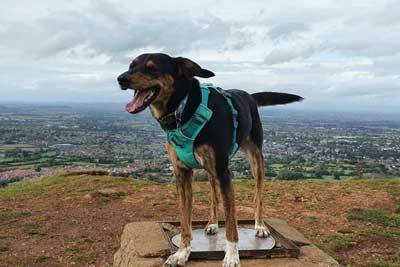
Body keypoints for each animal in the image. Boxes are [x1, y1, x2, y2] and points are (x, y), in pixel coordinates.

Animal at [117, 53, 302, 266]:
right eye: (131, 66)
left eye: (152, 68)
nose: (121, 79)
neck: (183, 109)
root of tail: (248, 95)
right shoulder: (182, 174)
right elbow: (185, 220)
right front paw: (182, 252)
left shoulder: (224, 172)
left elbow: (231, 222)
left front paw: (232, 256)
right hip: (210, 170)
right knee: (214, 195)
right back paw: (213, 223)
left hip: (256, 160)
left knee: (258, 195)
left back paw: (260, 226)